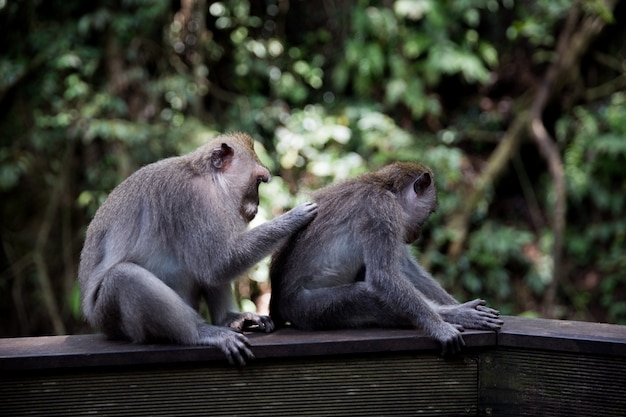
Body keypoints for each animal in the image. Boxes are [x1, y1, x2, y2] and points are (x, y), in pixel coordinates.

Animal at [79, 132, 316, 362]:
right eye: (258, 181)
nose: (257, 205)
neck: (208, 179)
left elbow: (216, 267)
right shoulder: (192, 199)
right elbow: (218, 264)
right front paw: (293, 218)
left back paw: (227, 318)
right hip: (110, 318)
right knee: (124, 277)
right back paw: (200, 332)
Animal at [270, 161, 502, 352]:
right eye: (430, 212)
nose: (418, 233)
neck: (385, 187)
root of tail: (280, 305)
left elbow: (404, 267)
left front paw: (455, 304)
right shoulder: (382, 210)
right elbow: (384, 275)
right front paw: (440, 325)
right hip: (307, 309)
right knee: (361, 295)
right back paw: (455, 315)